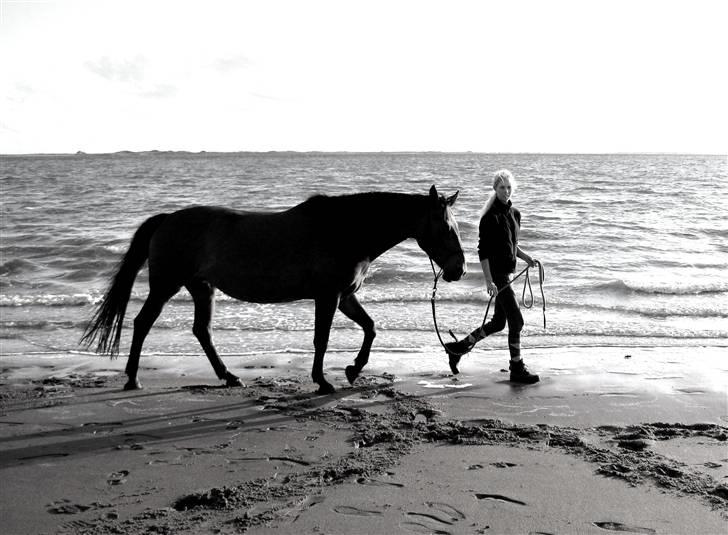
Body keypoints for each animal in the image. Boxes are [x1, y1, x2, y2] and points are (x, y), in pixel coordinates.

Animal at [81, 186, 466, 396]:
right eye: (446, 228)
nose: (459, 269)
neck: (345, 230)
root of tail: (167, 219)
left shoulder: (344, 296)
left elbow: (370, 328)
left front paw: (353, 369)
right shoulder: (328, 296)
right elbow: (321, 340)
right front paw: (322, 381)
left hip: (202, 288)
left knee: (201, 331)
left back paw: (229, 376)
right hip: (166, 285)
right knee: (143, 323)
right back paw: (132, 378)